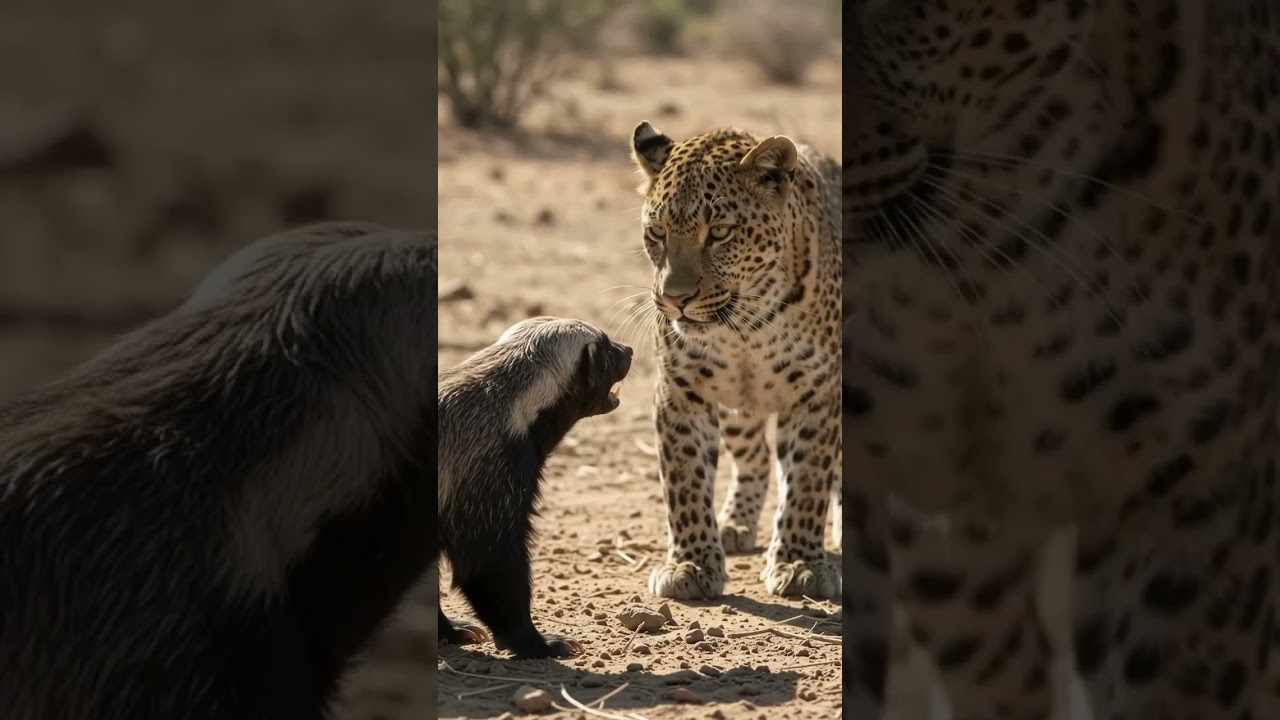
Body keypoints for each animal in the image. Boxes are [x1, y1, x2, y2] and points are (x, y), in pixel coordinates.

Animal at [627, 121, 843, 601]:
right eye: (657, 233)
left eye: (720, 232)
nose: (675, 298)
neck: (745, 327)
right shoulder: (681, 392)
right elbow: (685, 481)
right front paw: (690, 565)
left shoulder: (817, 394)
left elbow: (807, 481)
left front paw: (800, 563)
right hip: (739, 413)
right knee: (757, 458)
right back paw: (734, 523)